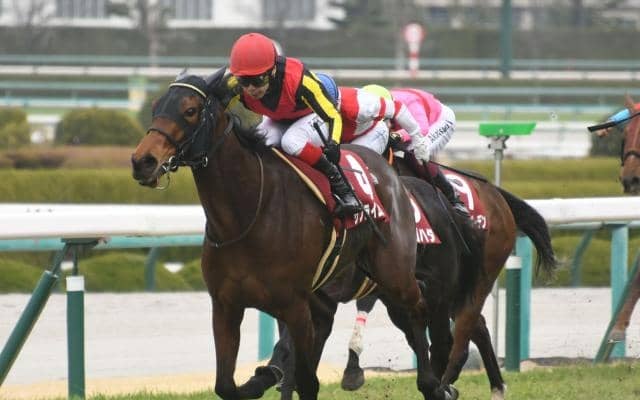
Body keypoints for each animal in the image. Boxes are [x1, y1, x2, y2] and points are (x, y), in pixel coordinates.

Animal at [130, 70, 452, 400]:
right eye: (155, 107)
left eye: (190, 110)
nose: (143, 161)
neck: (247, 214)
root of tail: (391, 175)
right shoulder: (226, 306)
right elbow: (227, 385)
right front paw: (259, 380)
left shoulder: (295, 307)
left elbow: (306, 381)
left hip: (394, 272)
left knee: (418, 307)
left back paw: (433, 383)